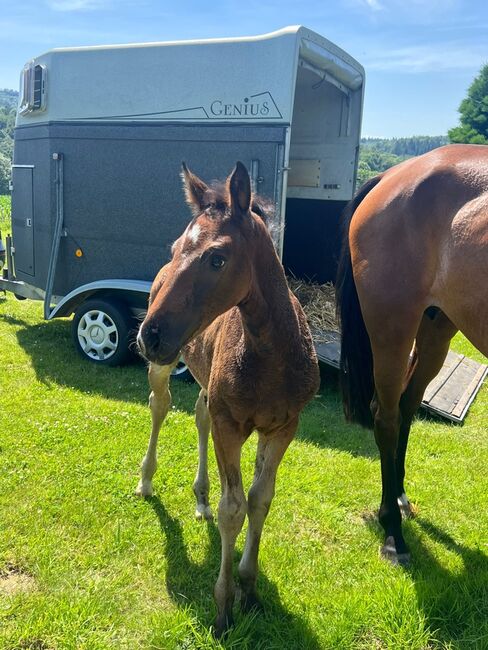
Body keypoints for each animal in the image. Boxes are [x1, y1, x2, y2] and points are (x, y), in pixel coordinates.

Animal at [137, 162, 320, 632]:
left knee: (198, 413)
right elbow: (233, 508)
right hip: (166, 366)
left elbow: (260, 500)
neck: (271, 354)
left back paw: (199, 498)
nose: (150, 334)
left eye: (217, 258)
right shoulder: (230, 425)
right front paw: (223, 605)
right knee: (161, 406)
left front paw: (249, 586)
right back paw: (146, 480)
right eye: (177, 247)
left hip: (206, 381)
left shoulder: (284, 427)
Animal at [338, 144, 488, 564]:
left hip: (436, 331)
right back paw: (393, 532)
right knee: (386, 417)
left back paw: (400, 496)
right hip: (393, 332)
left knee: (407, 404)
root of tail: (391, 175)